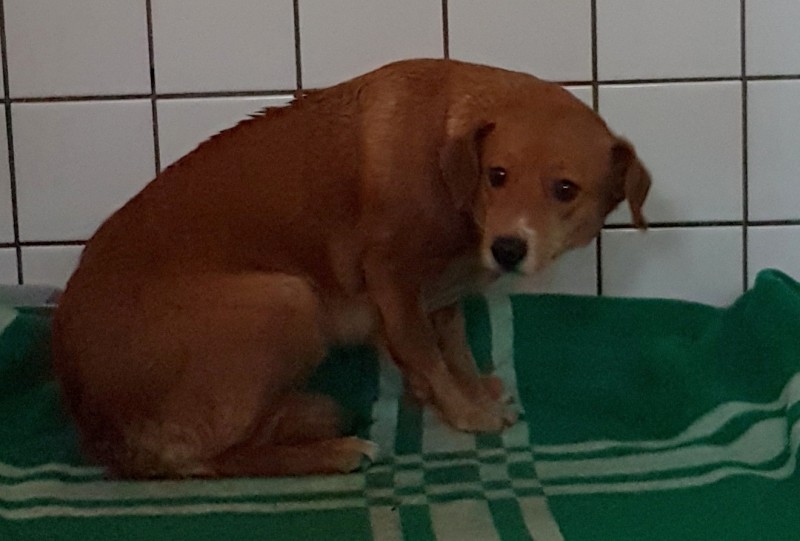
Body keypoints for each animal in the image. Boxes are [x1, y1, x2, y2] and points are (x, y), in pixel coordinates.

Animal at [52, 58, 650, 478]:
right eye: (497, 175)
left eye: (565, 189)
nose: (507, 248)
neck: (447, 154)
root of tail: (95, 427)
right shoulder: (392, 276)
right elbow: (425, 352)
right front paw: (466, 413)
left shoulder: (441, 293)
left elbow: (453, 346)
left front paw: (470, 390)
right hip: (287, 299)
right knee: (214, 458)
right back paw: (332, 451)